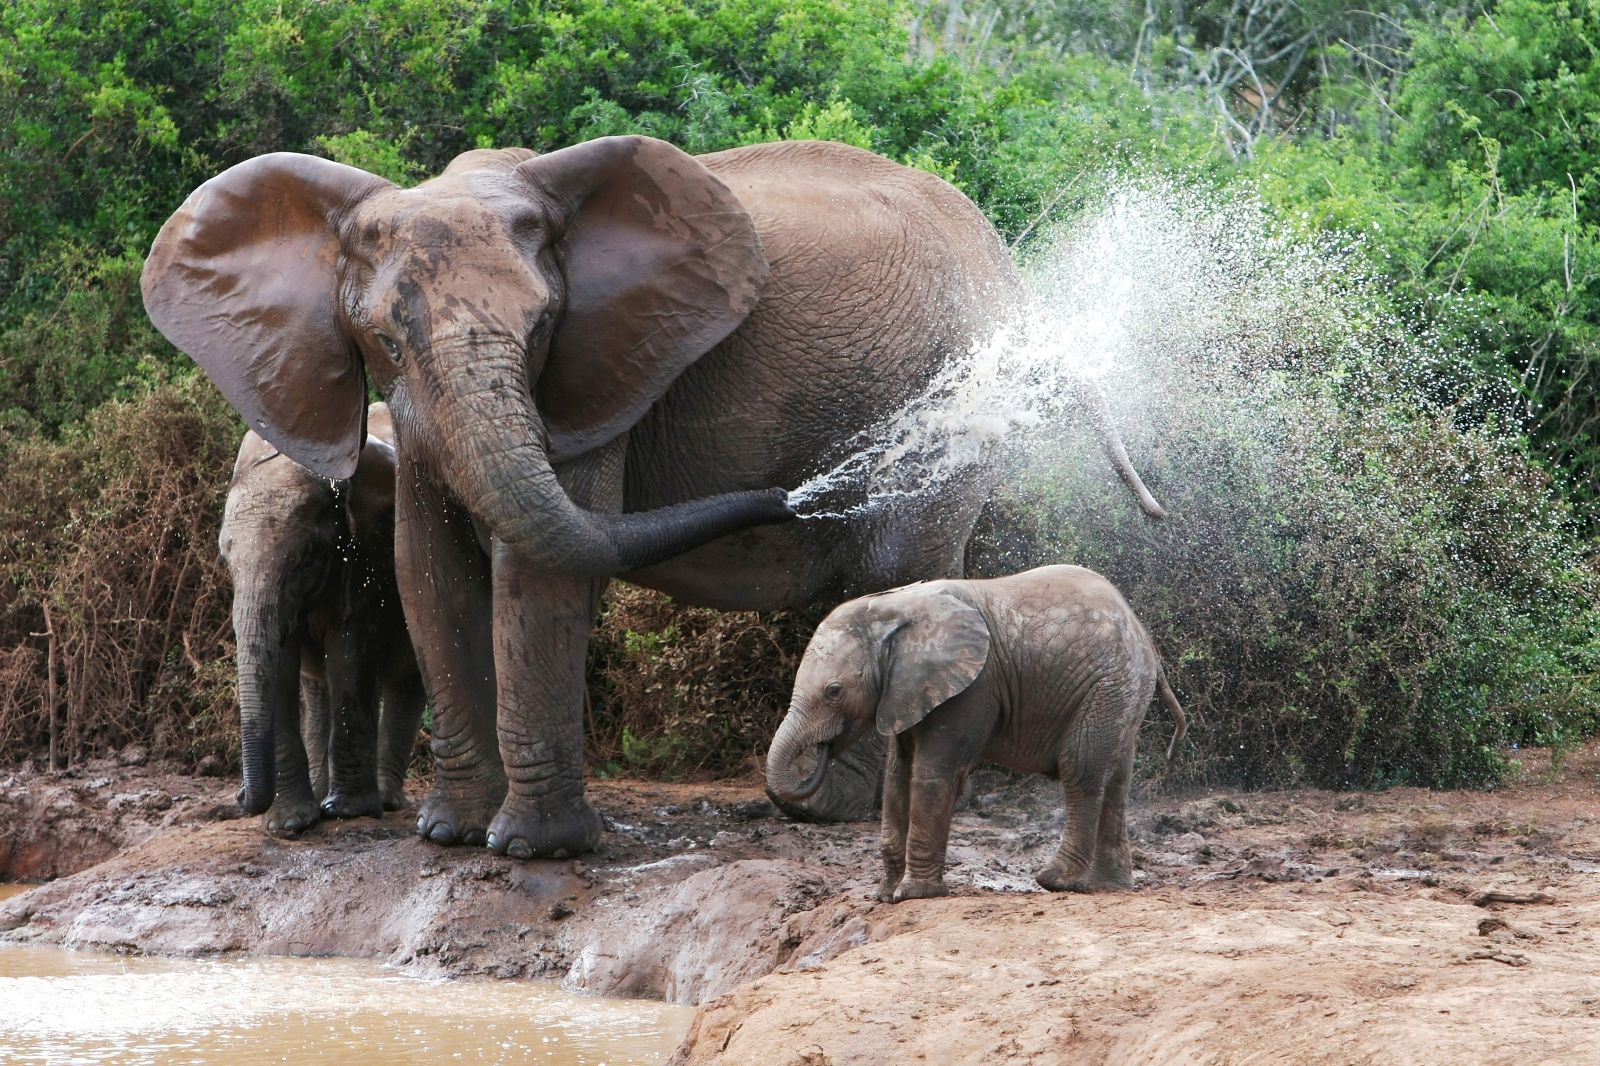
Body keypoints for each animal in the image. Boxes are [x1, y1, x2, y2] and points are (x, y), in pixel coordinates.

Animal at [225, 398, 428, 832]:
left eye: (305, 559)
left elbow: (350, 652)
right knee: (316, 688)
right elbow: (281, 664)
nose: (240, 796)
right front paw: (290, 825)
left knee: (408, 679)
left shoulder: (367, 556)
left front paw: (349, 812)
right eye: (226, 561)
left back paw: (386, 801)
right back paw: (322, 797)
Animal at [768, 560, 1184, 902]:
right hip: (1122, 692)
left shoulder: (972, 688)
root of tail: (1145, 638)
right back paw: (1108, 886)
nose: (819, 753)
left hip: (1107, 685)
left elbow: (935, 773)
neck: (894, 607)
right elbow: (897, 777)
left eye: (834, 691)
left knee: (1081, 769)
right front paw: (885, 896)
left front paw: (914, 895)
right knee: (1116, 781)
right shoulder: (907, 691)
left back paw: (1055, 881)